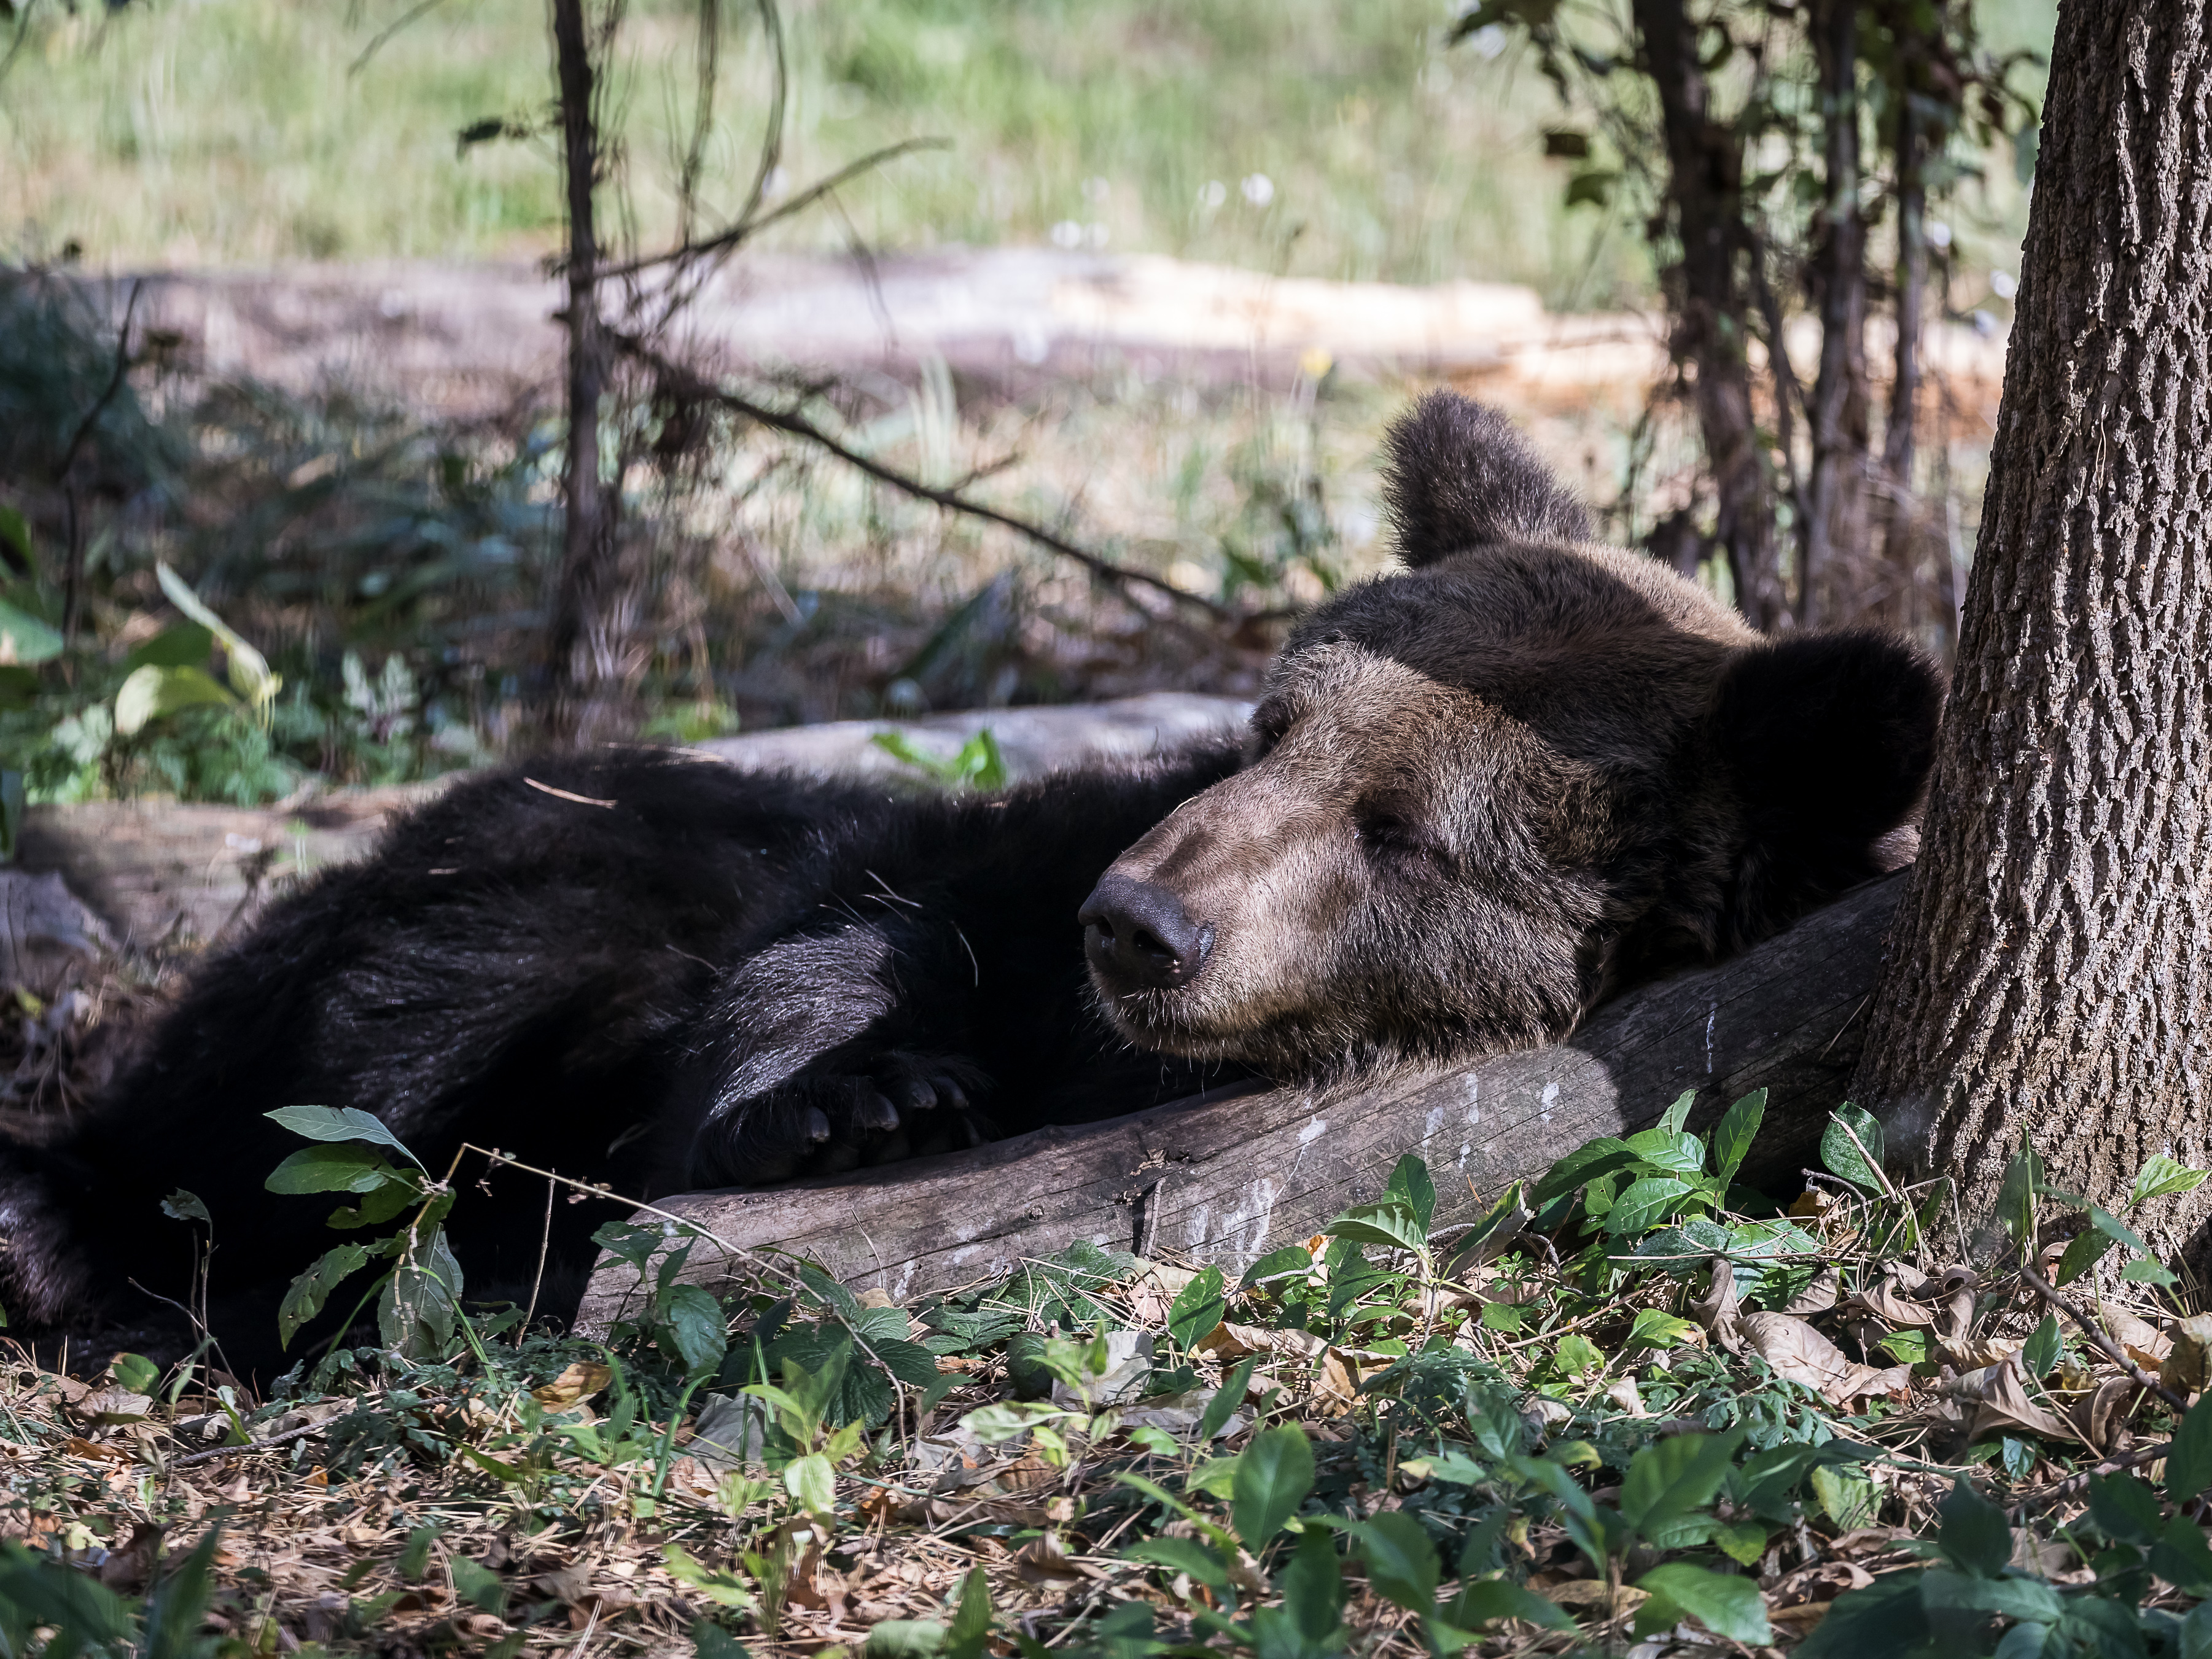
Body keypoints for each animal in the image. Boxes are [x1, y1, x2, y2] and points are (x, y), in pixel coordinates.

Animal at [0, 395, 1937, 1371]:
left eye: (1405, 825)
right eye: (1273, 720)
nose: (1144, 925)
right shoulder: (981, 862)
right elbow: (846, 940)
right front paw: (858, 1098)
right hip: (499, 865)